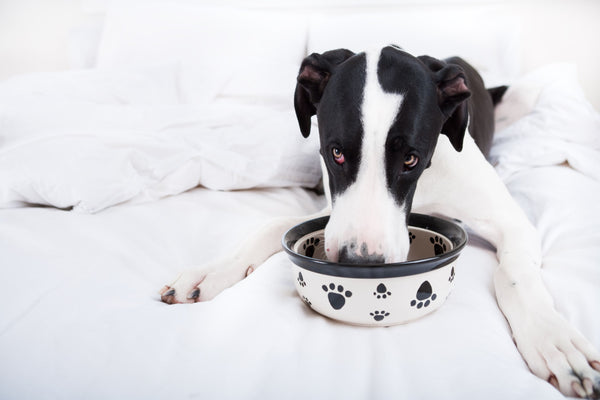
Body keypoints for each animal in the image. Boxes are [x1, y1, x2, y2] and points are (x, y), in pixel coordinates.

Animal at [162, 46, 600, 396]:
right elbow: (271, 225)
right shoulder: (330, 211)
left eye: (411, 158)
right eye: (336, 152)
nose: (358, 263)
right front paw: (212, 270)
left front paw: (554, 339)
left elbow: (513, 277)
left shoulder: (513, 223)